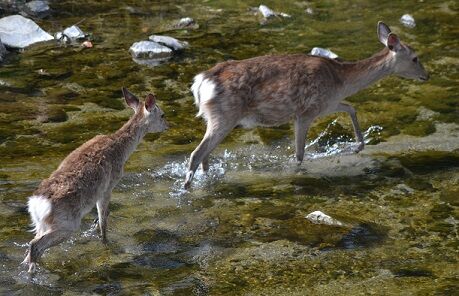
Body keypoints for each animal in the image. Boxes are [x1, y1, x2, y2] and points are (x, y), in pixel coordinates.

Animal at [22, 88, 169, 272]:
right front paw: (106, 243)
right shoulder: (108, 186)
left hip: (42, 224)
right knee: (35, 245)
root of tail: (36, 204)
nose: (167, 126)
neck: (123, 151)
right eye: (162, 115)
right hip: (67, 224)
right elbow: (103, 218)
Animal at [185, 20, 430, 188]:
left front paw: (359, 145)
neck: (340, 80)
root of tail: (200, 82)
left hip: (215, 117)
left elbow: (351, 107)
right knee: (196, 154)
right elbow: (299, 153)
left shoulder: (327, 104)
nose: (426, 76)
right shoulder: (305, 112)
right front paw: (299, 173)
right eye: (415, 58)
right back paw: (187, 189)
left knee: (205, 155)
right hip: (225, 115)